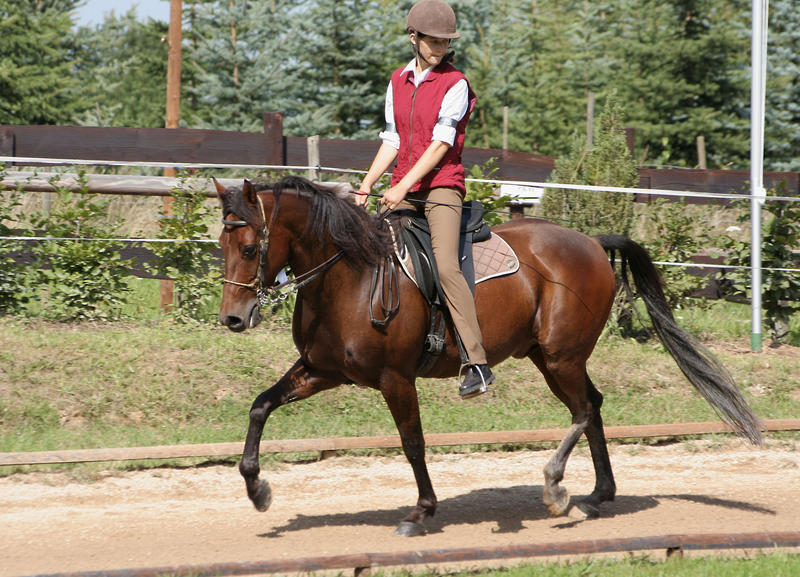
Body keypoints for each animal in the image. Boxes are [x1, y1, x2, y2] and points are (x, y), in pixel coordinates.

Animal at [214, 174, 764, 536]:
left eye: (249, 248)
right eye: (221, 243)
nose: (233, 319)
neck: (350, 274)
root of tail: (590, 240)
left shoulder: (395, 379)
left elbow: (413, 444)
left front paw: (421, 512)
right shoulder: (323, 370)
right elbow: (260, 405)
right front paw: (257, 489)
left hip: (561, 357)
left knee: (584, 410)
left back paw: (556, 489)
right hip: (548, 357)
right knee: (593, 406)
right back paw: (597, 495)